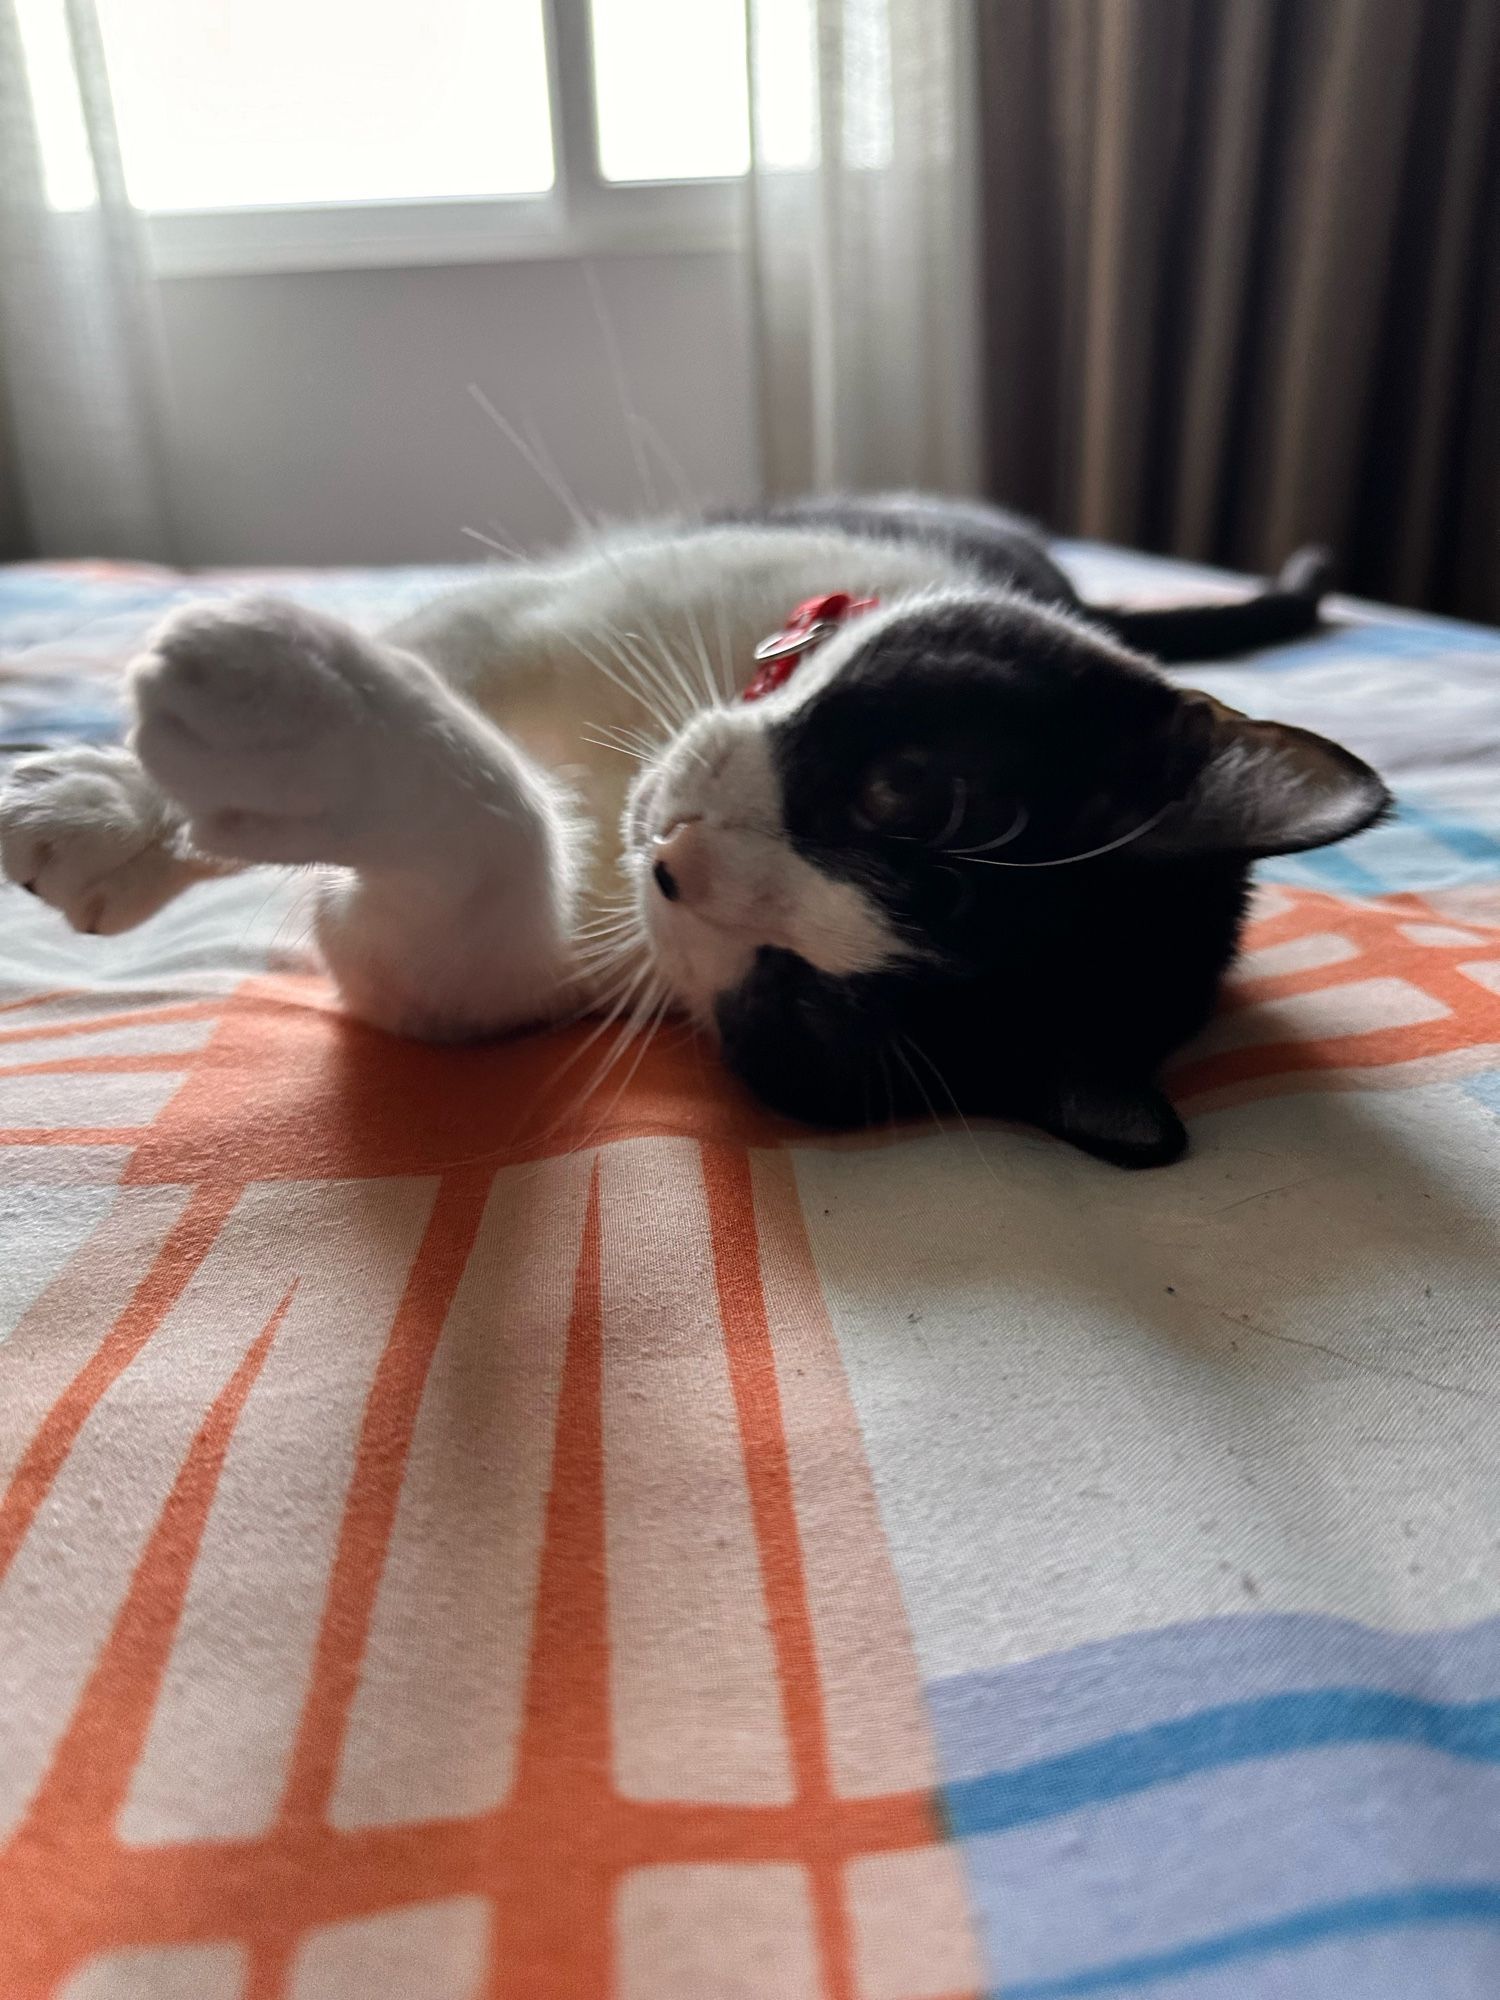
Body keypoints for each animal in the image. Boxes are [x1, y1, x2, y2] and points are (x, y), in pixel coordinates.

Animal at [0, 490, 1384, 1168]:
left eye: (804, 1006)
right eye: (915, 795)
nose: (676, 855)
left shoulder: (566, 963)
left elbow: (451, 929)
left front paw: (282, 756)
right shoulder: (562, 609)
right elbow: (445, 643)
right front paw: (122, 798)